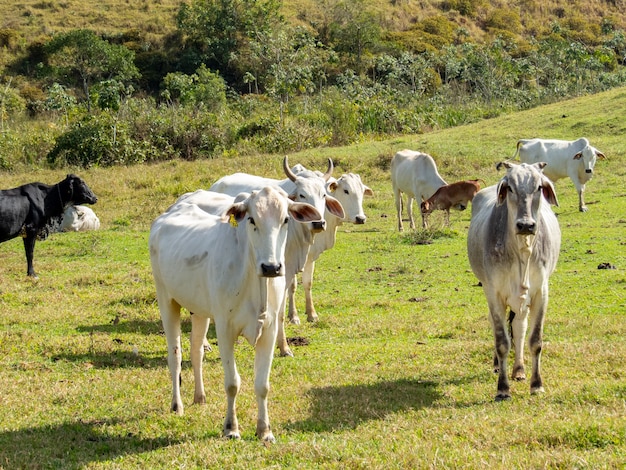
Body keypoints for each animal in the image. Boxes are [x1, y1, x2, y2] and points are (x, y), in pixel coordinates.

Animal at [149, 186, 320, 440]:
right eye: (251, 219)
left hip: (199, 310)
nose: (271, 267)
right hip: (166, 299)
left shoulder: (269, 330)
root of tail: (163, 218)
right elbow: (232, 383)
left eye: (286, 219)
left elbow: (262, 384)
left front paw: (265, 430)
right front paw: (231, 428)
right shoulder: (225, 328)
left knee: (196, 350)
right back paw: (177, 405)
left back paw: (199, 397)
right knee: (175, 355)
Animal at [210, 155, 346, 356]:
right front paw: (284, 345)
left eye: (323, 194)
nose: (318, 223)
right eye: (302, 194)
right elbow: (280, 309)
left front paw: (305, 316)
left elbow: (301, 287)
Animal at [286, 167, 370, 324]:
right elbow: (292, 286)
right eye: (346, 190)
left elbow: (307, 283)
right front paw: (293, 316)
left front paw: (311, 314)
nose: (360, 218)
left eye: (362, 191)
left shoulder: (310, 257)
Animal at [464, 162, 560, 400]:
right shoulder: (494, 293)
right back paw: (499, 365)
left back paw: (519, 369)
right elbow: (502, 341)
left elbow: (535, 340)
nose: (526, 225)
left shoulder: (541, 291)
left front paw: (536, 384)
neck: (521, 251)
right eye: (509, 188)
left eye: (538, 187)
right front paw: (502, 388)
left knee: (520, 326)